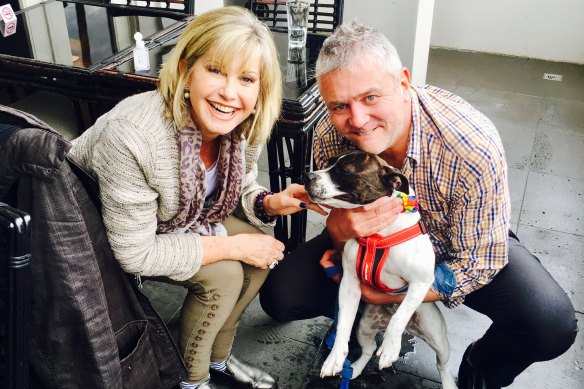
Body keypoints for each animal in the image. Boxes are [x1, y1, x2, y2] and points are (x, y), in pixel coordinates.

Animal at [306, 150, 456, 386]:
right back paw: (354, 368)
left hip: (439, 339)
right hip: (365, 327)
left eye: (345, 170)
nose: (307, 176)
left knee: (441, 364)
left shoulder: (421, 282)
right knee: (368, 349)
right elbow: (343, 325)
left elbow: (400, 316)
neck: (378, 235)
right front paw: (334, 358)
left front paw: (390, 347)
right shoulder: (349, 285)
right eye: (329, 163)